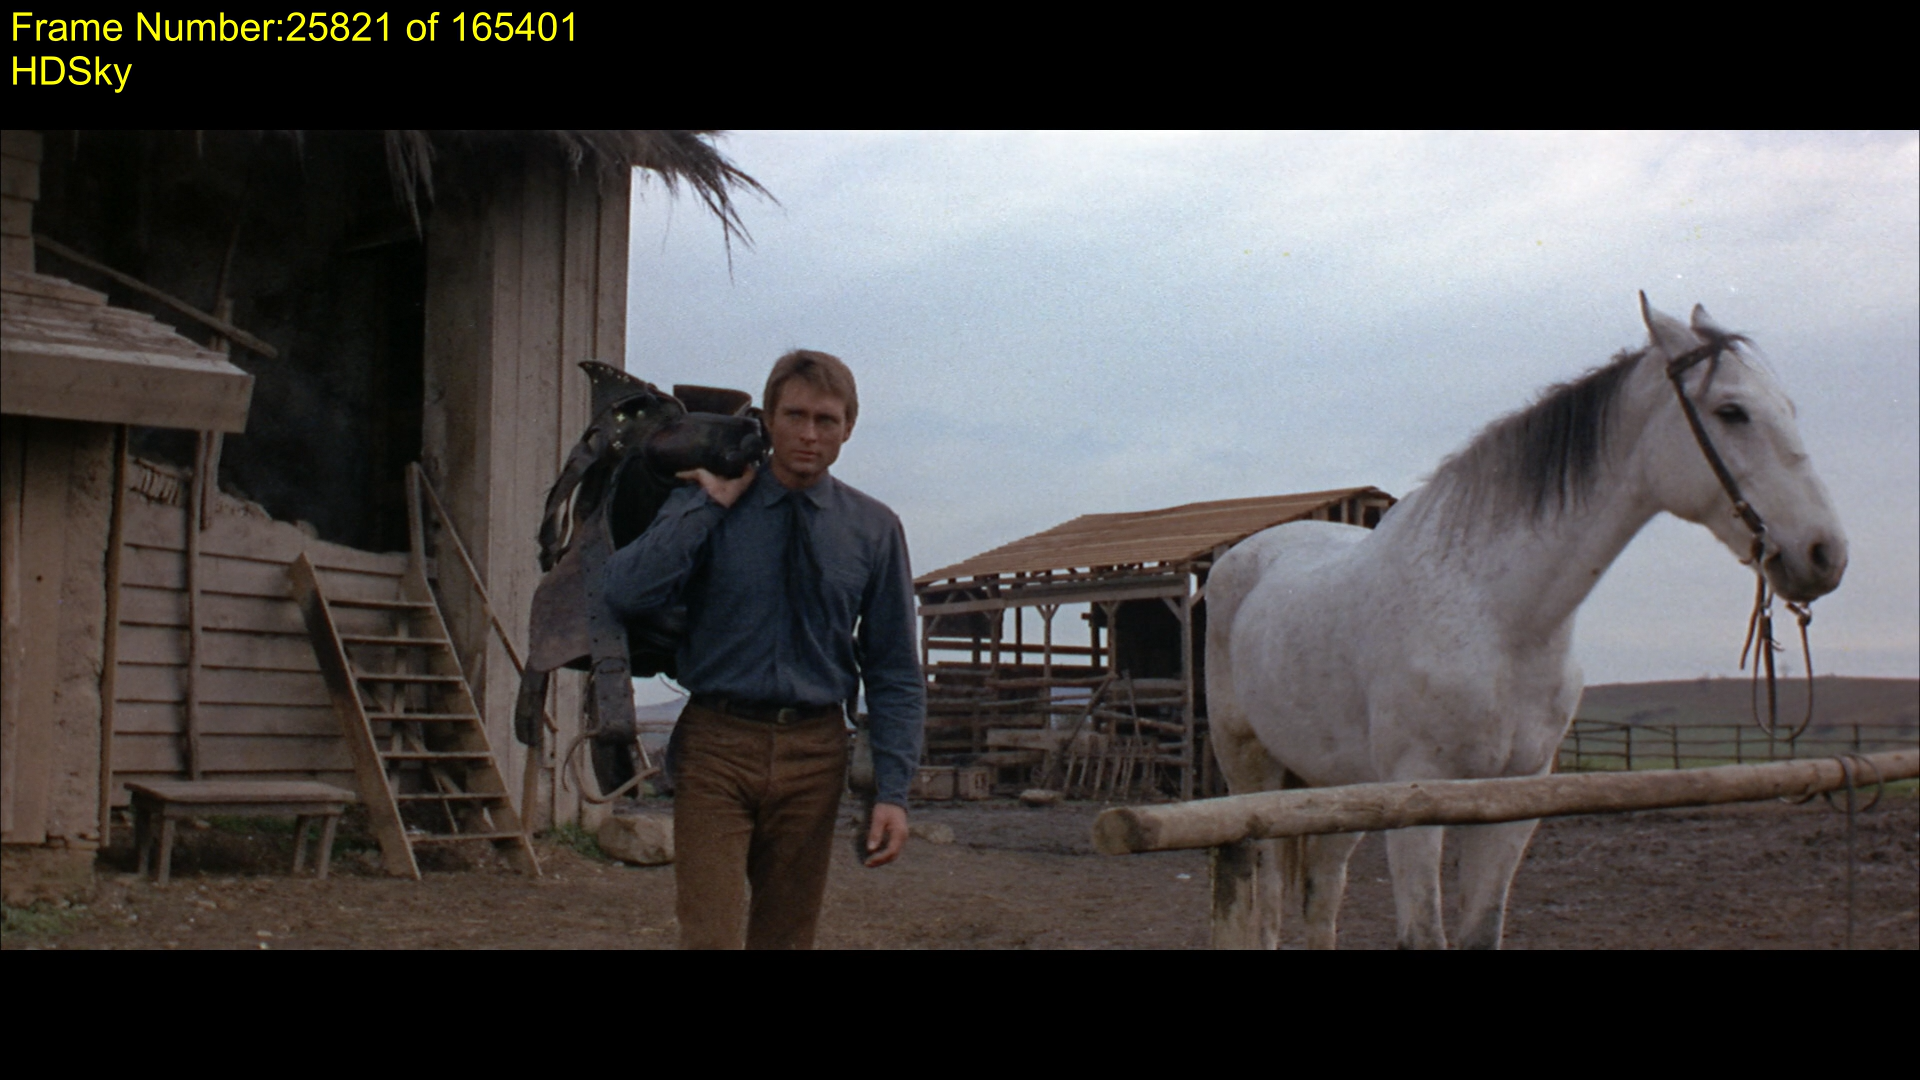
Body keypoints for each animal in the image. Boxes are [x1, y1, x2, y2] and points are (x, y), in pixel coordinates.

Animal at [1204, 295, 1848, 949]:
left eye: (1789, 408)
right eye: (1732, 411)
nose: (1825, 554)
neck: (1499, 617)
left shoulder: (1512, 799)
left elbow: (1481, 932)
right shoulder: (1416, 796)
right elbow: (1423, 935)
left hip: (1332, 785)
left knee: (1320, 894)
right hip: (1251, 771)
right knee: (1262, 895)